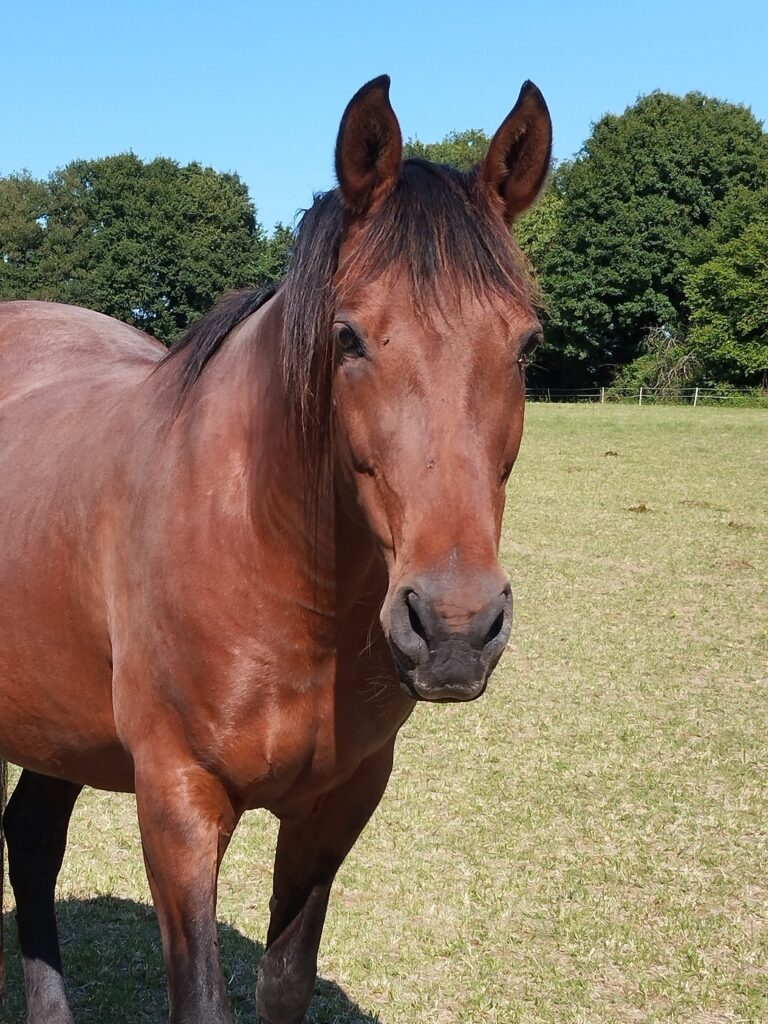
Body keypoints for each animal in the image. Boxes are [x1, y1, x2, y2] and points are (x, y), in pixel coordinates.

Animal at [0, 75, 551, 1023]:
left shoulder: (339, 801)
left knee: (30, 836)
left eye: (524, 343)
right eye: (350, 337)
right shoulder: (178, 803)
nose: (454, 628)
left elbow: (285, 982)